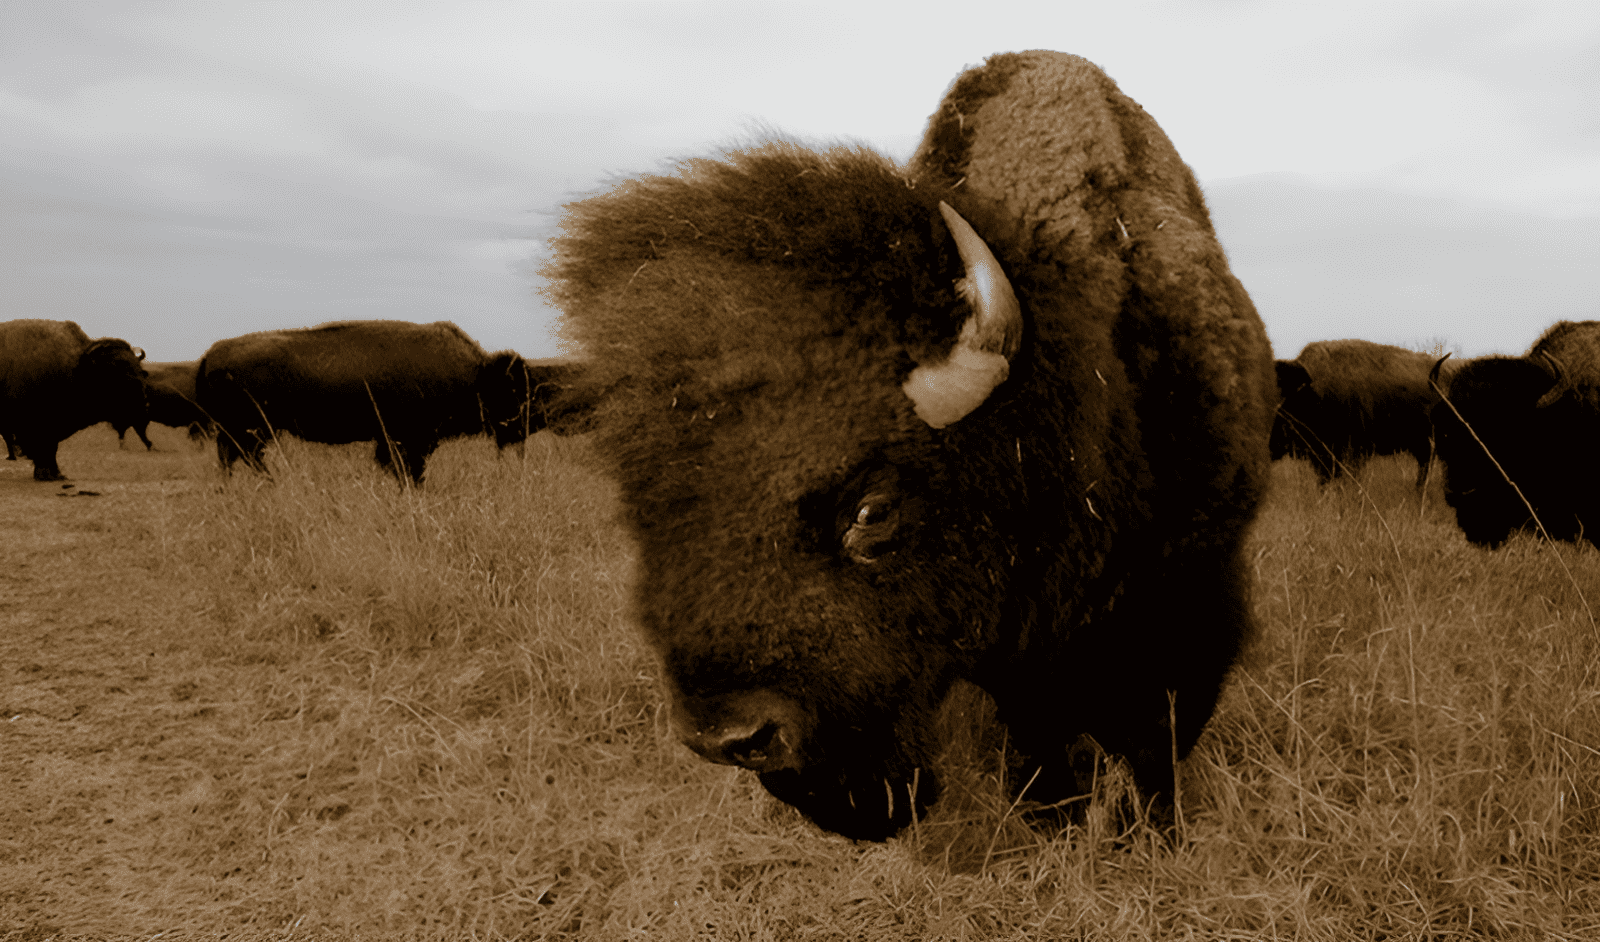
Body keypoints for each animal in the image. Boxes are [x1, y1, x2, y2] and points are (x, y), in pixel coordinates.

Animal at [0, 319, 149, 481]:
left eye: (140, 369)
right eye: (115, 370)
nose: (143, 401)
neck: (78, 367)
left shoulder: (54, 428)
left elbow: (51, 449)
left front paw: (57, 474)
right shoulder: (34, 427)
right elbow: (42, 449)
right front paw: (44, 474)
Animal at [196, 320, 575, 483]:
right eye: (513, 391)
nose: (529, 423)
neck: (475, 375)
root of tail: (212, 353)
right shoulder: (409, 441)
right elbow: (410, 472)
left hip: (244, 431)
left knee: (233, 459)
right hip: (254, 429)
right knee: (245, 457)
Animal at [547, 51, 1277, 840]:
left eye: (873, 511)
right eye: (643, 510)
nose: (730, 736)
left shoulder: (1195, 594)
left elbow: (1156, 739)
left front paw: (1151, 835)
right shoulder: (1021, 659)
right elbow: (1043, 733)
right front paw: (1052, 816)